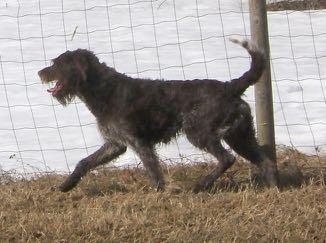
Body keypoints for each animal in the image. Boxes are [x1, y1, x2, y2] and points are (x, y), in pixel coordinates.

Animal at [37, 39, 278, 193]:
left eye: (57, 64)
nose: (39, 72)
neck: (105, 90)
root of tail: (231, 87)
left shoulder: (139, 142)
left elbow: (153, 170)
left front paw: (160, 192)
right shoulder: (115, 143)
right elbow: (85, 162)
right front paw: (67, 185)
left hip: (199, 132)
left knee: (227, 158)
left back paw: (201, 185)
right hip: (239, 135)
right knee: (265, 161)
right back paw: (272, 189)